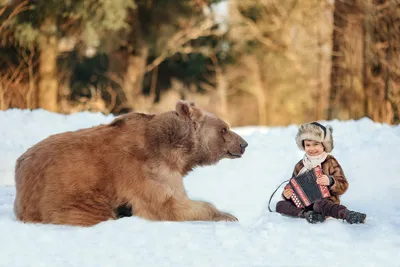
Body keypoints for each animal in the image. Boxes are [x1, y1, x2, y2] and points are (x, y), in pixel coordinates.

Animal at [13, 100, 247, 226]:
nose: (243, 143)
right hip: (69, 193)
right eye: (224, 128)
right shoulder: (145, 171)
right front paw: (228, 215)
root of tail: (20, 167)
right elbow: (169, 205)